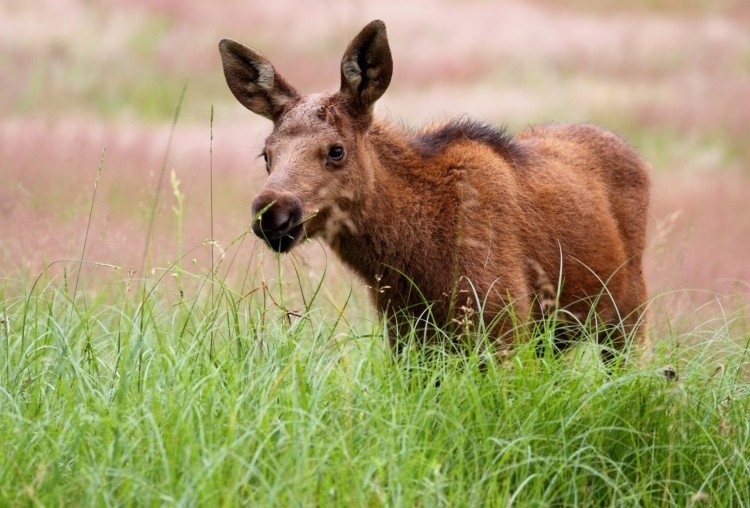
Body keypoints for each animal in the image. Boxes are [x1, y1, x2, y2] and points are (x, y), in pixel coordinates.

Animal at [219, 20, 652, 362]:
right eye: (266, 154)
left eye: (336, 150)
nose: (272, 213)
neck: (412, 259)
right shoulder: (405, 334)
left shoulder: (505, 323)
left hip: (628, 318)